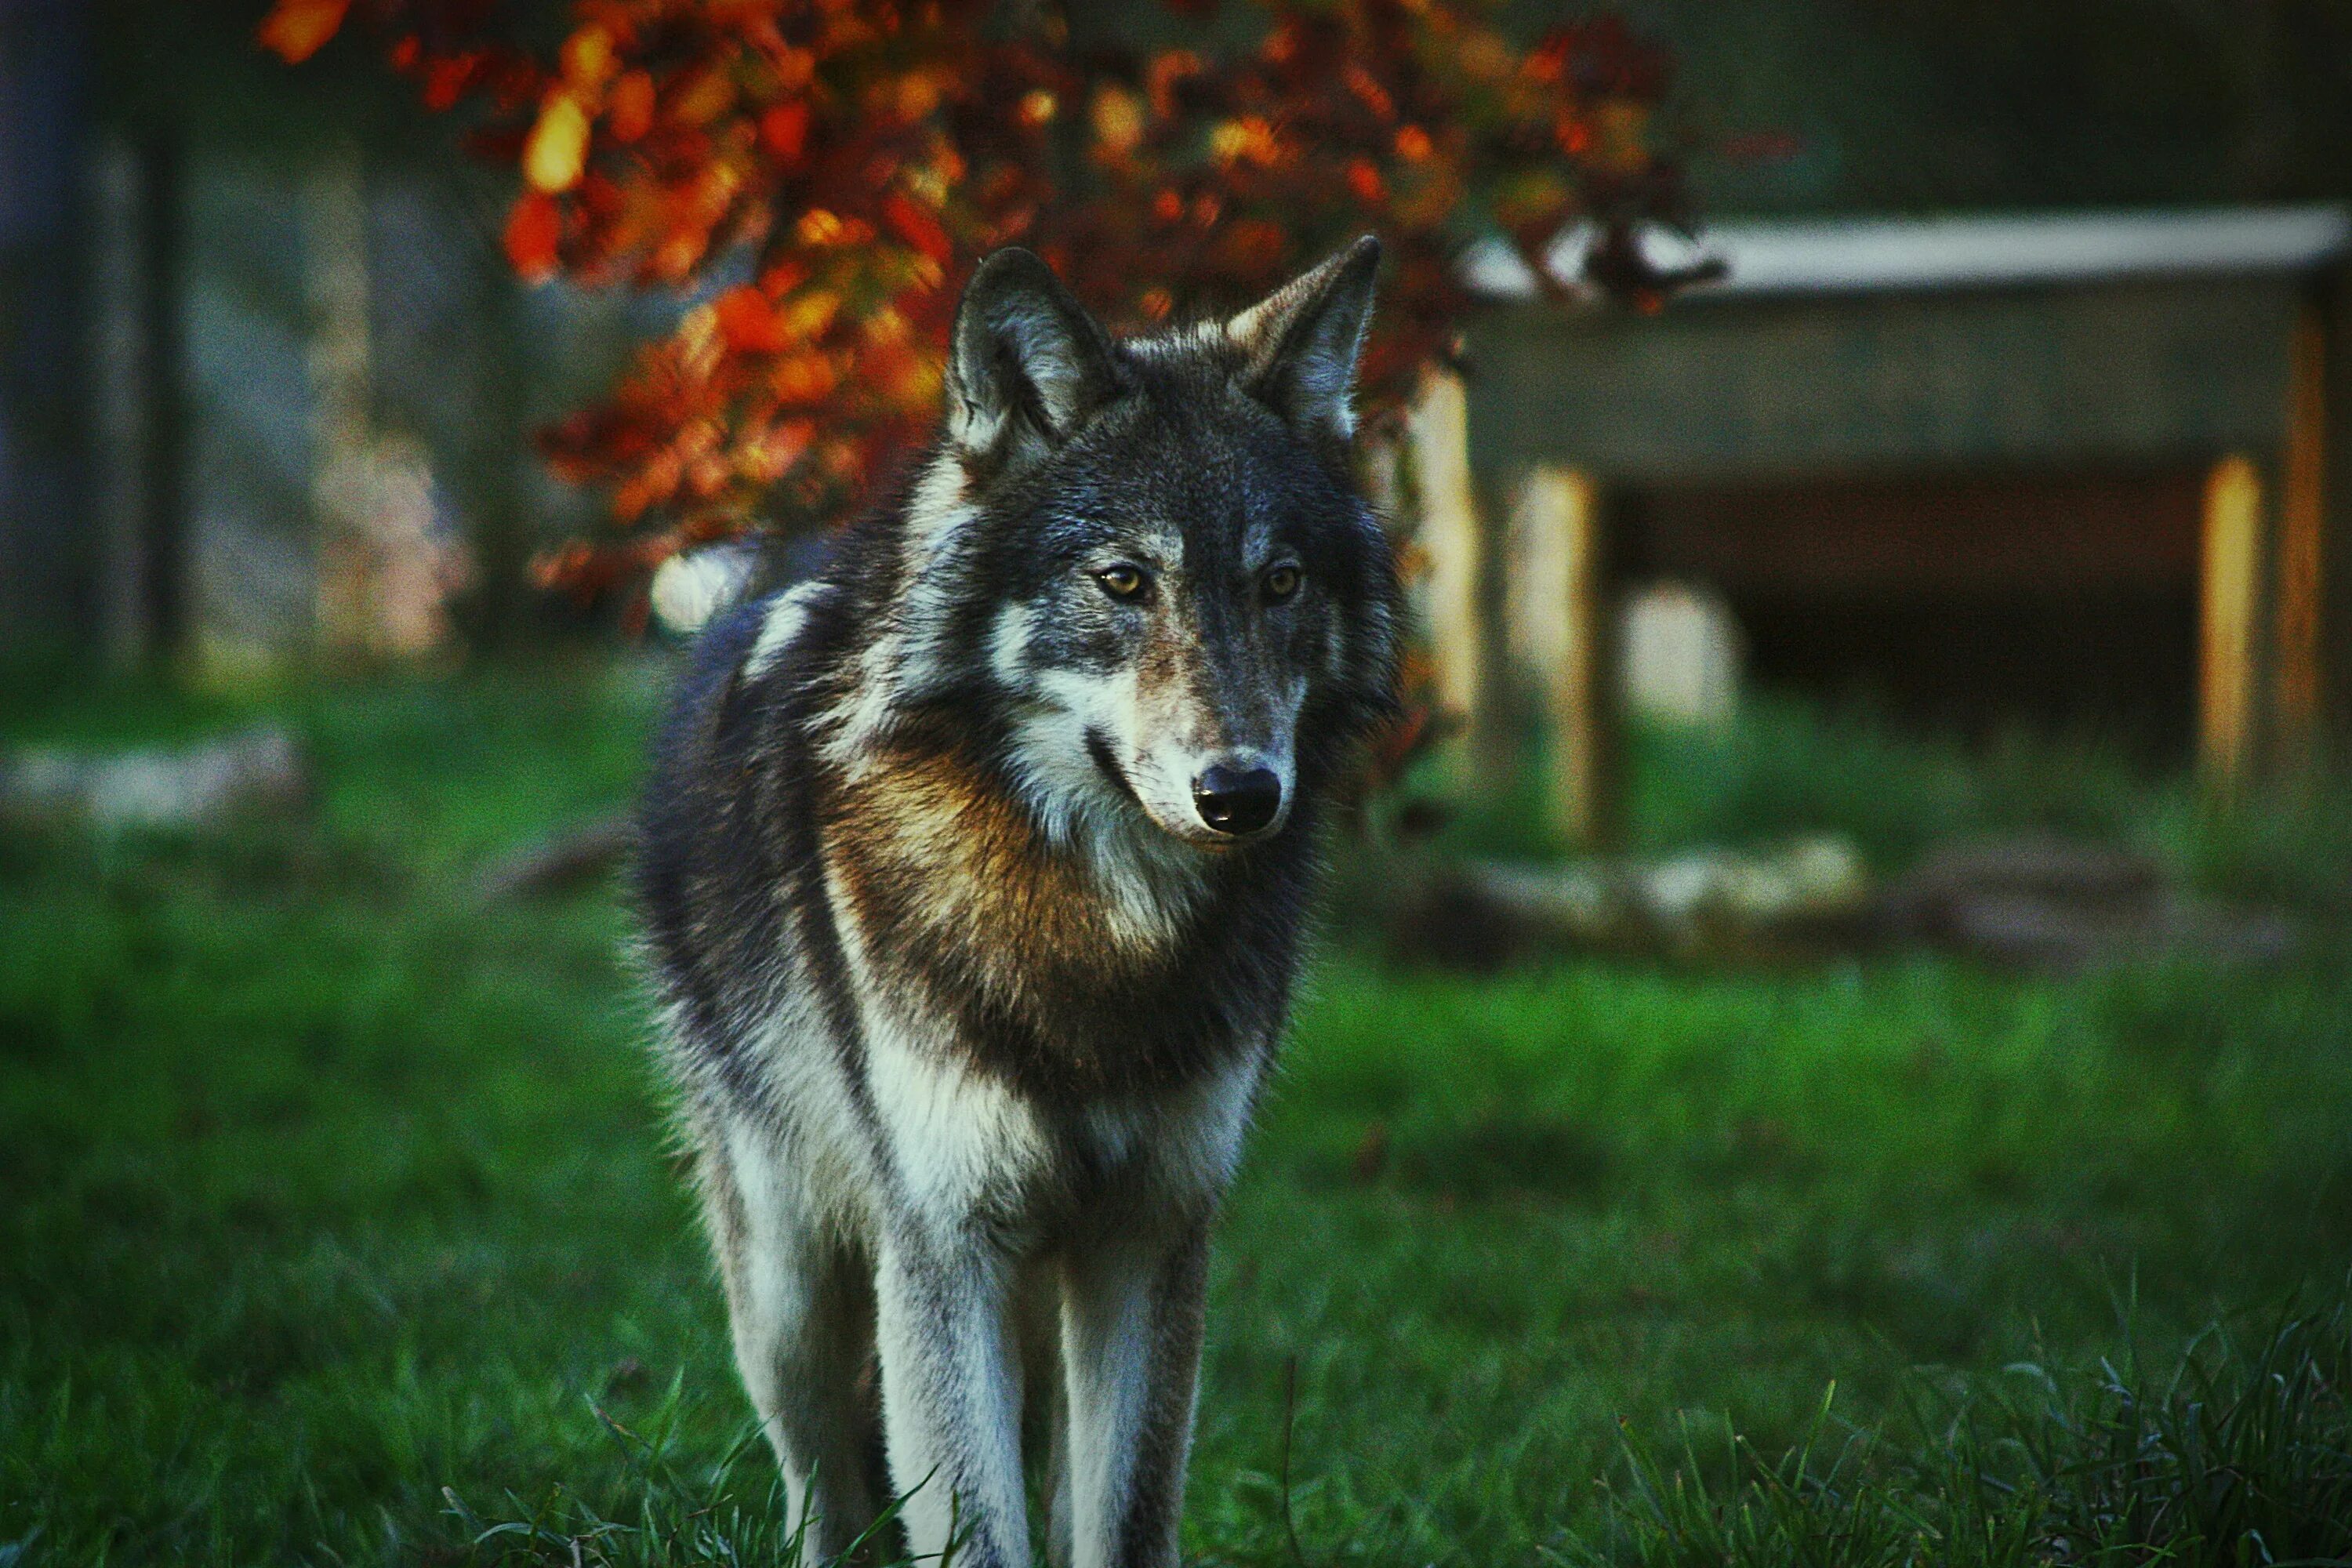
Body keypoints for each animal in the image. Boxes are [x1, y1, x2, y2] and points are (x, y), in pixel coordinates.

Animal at [635, 236, 1392, 1568]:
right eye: (1124, 580)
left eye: (1283, 583)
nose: (1241, 792)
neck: (1102, 928)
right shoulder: (944, 1248)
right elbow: (975, 1531)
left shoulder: (1151, 1238)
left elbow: (1122, 1523)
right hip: (792, 1286)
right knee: (825, 1492)